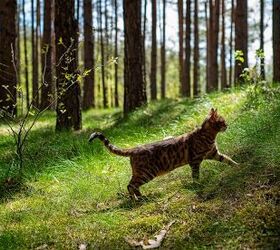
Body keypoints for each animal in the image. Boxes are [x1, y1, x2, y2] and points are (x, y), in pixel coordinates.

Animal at [88, 108, 237, 200]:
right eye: (222, 121)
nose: (228, 125)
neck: (208, 135)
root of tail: (135, 148)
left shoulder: (214, 154)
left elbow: (228, 159)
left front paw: (238, 166)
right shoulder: (195, 161)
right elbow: (195, 176)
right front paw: (198, 185)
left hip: (141, 173)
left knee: (133, 184)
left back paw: (141, 197)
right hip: (147, 173)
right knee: (130, 185)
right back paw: (135, 199)